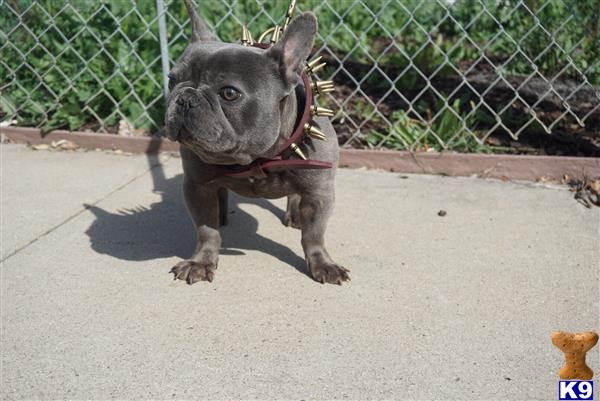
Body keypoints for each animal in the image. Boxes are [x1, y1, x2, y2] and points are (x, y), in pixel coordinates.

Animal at [164, 1, 350, 286]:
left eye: (229, 93)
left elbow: (314, 234)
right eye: (171, 81)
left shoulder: (320, 194)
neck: (258, 157)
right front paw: (201, 261)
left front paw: (322, 264)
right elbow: (206, 230)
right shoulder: (197, 187)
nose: (185, 98)